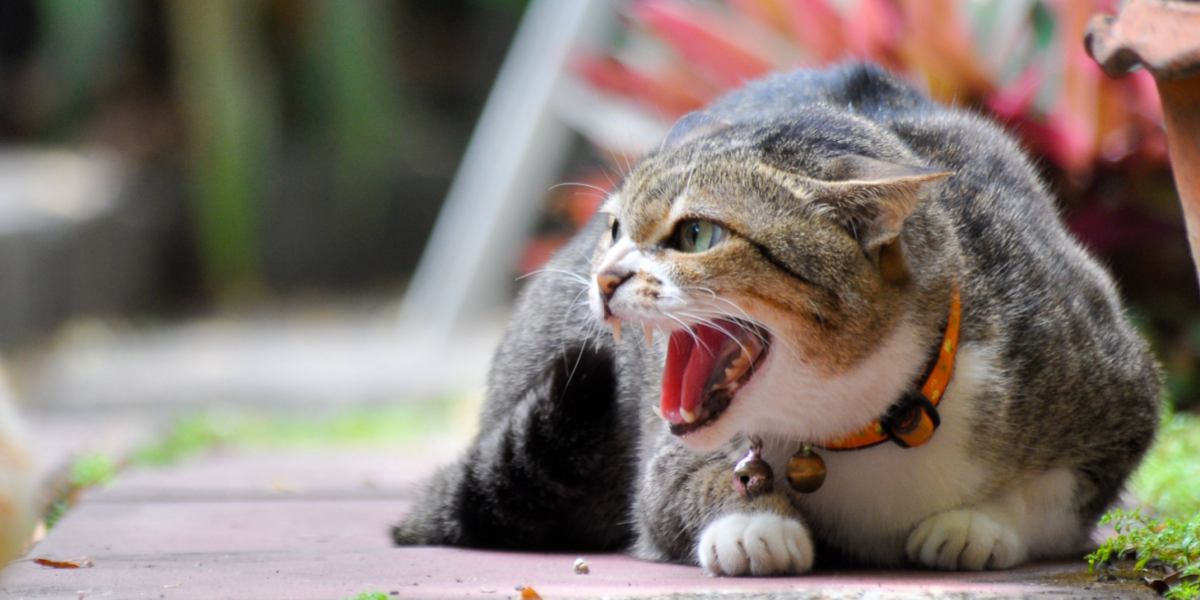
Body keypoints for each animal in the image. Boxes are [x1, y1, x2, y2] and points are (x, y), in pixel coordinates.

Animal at [396, 62, 1161, 576]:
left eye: (696, 235)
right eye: (615, 228)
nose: (606, 275)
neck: (856, 427)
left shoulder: (1121, 389)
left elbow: (1056, 494)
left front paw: (976, 525)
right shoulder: (662, 466)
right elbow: (678, 492)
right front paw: (755, 526)